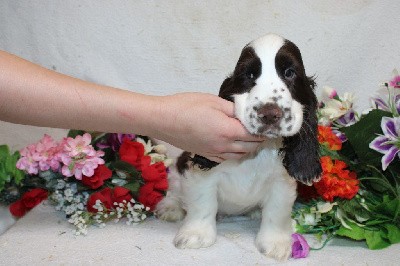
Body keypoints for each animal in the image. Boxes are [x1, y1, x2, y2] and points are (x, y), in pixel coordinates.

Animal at [156, 33, 322, 262]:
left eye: (289, 73)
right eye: (249, 74)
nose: (270, 114)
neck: (258, 151)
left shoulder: (282, 181)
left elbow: (277, 211)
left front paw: (276, 244)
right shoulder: (202, 174)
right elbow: (202, 203)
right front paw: (196, 235)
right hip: (177, 169)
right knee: (173, 189)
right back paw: (170, 208)